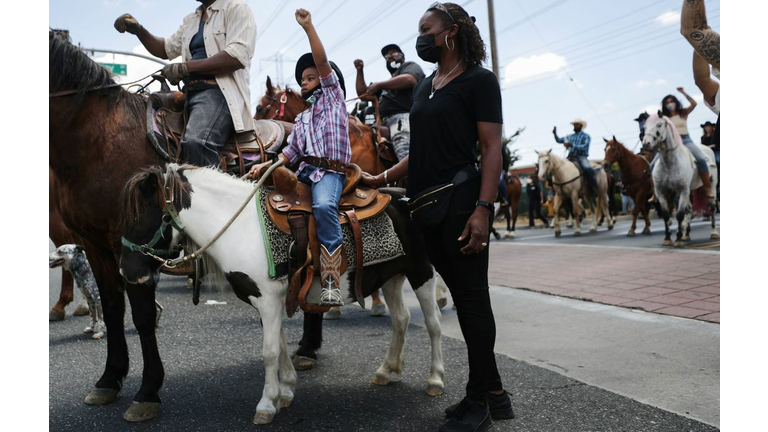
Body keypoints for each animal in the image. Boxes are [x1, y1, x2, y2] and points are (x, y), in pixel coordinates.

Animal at [640, 114, 720, 246]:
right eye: (644, 127)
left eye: (659, 125)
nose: (646, 144)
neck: (669, 163)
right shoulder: (662, 192)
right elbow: (666, 215)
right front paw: (667, 238)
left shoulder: (682, 190)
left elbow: (679, 215)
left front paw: (677, 239)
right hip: (689, 190)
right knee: (689, 209)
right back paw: (686, 235)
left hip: (711, 187)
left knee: (712, 208)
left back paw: (713, 233)